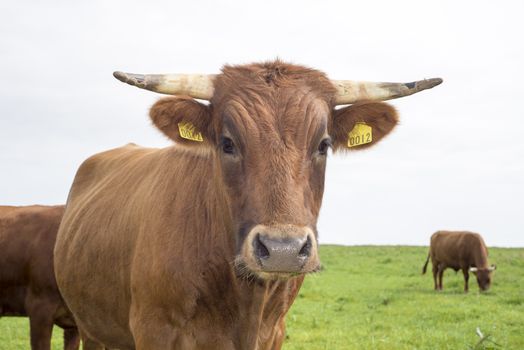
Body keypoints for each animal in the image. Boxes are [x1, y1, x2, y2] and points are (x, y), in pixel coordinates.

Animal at [54, 58, 442, 348]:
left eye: (324, 144)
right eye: (227, 143)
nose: (283, 249)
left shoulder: (274, 334)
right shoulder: (154, 330)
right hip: (91, 328)